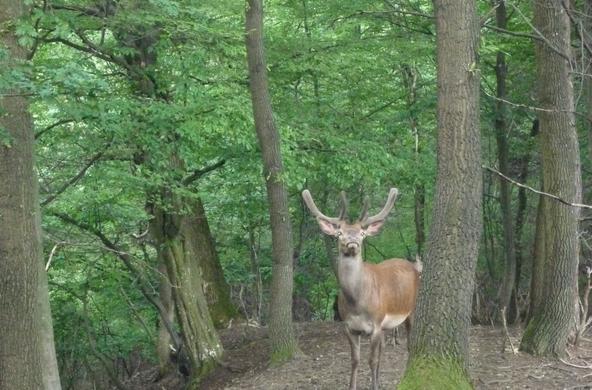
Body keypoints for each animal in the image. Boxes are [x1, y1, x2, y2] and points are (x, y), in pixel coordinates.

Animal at [302, 187, 424, 388]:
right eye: (339, 233)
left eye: (361, 233)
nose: (352, 241)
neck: (357, 303)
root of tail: (413, 266)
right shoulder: (349, 327)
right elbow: (355, 360)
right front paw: (355, 385)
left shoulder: (375, 324)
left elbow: (371, 360)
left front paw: (374, 386)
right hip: (386, 324)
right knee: (383, 350)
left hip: (410, 309)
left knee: (408, 343)